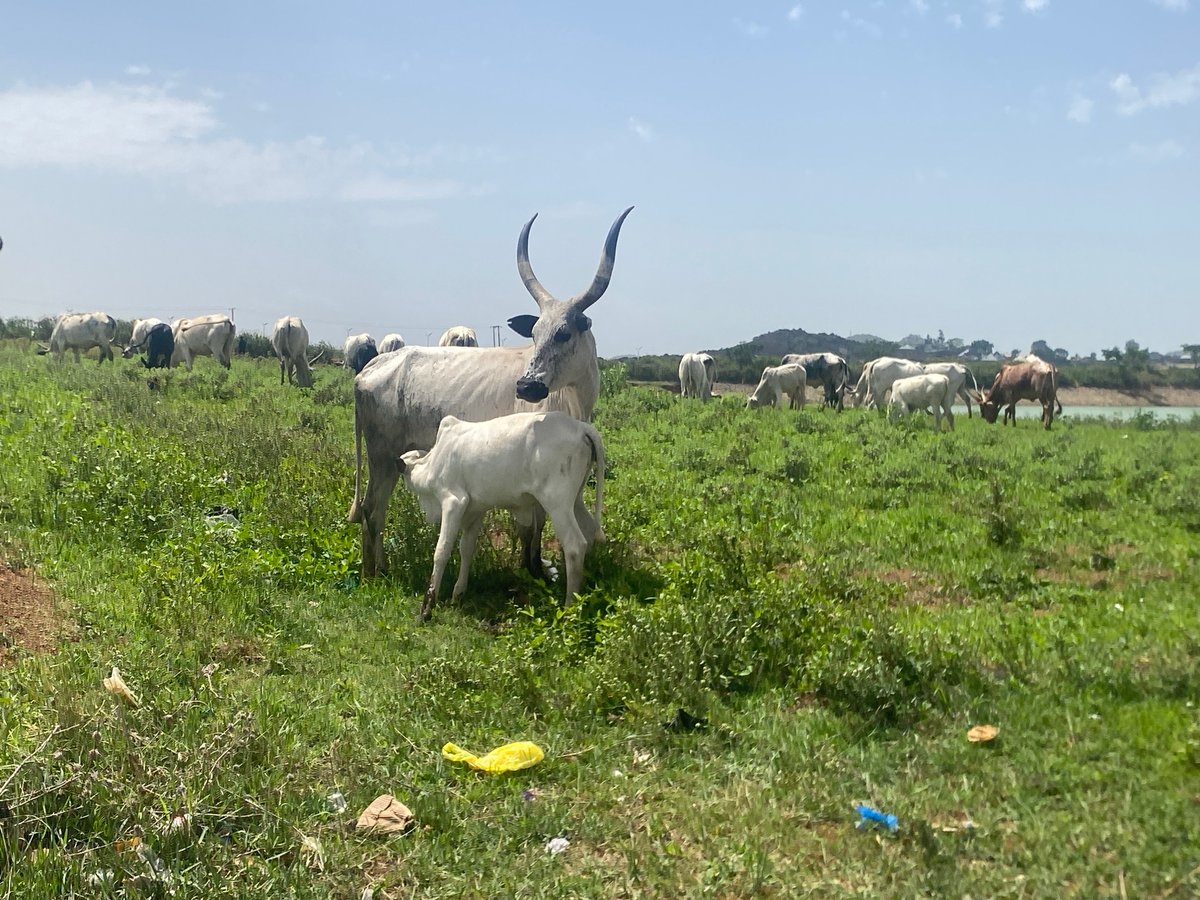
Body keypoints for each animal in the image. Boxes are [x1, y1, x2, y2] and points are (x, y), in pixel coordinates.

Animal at [348, 207, 633, 581]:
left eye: (564, 333)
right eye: (535, 332)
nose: (526, 386)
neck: (574, 400)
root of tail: (369, 367)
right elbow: (533, 525)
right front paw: (533, 569)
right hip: (381, 454)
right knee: (372, 509)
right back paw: (374, 573)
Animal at [399, 412, 606, 621]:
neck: (433, 462)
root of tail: (580, 427)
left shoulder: (453, 502)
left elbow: (441, 551)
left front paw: (426, 609)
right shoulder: (476, 510)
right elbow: (466, 549)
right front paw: (458, 594)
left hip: (557, 504)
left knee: (575, 545)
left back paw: (570, 607)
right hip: (575, 500)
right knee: (589, 531)